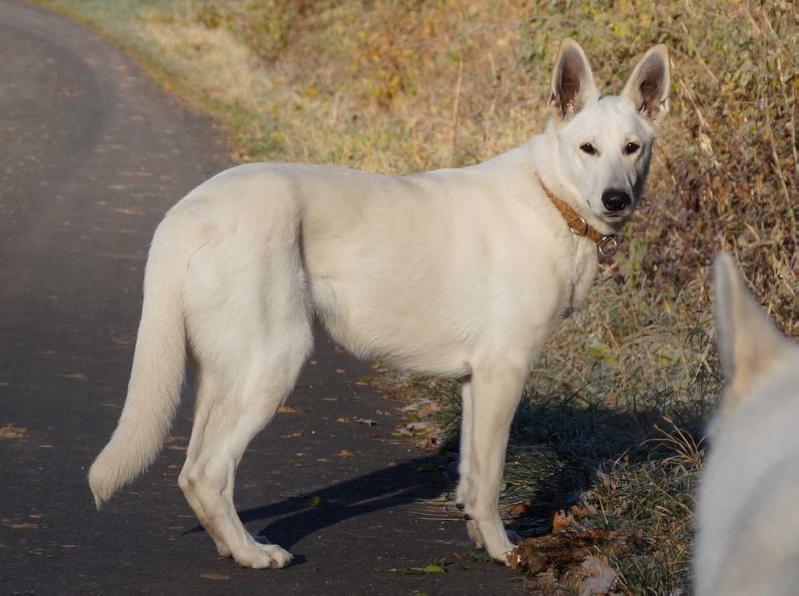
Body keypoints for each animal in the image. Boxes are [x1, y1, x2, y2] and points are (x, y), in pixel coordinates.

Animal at [90, 39, 672, 572]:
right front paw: (502, 549)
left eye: (632, 148)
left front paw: (476, 533)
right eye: (588, 149)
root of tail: (190, 209)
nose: (616, 199)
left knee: (192, 469)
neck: (552, 197)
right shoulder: (503, 373)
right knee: (208, 472)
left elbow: (469, 477)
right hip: (273, 362)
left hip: (223, 375)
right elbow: (489, 479)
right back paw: (254, 554)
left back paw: (231, 547)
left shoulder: (475, 383)